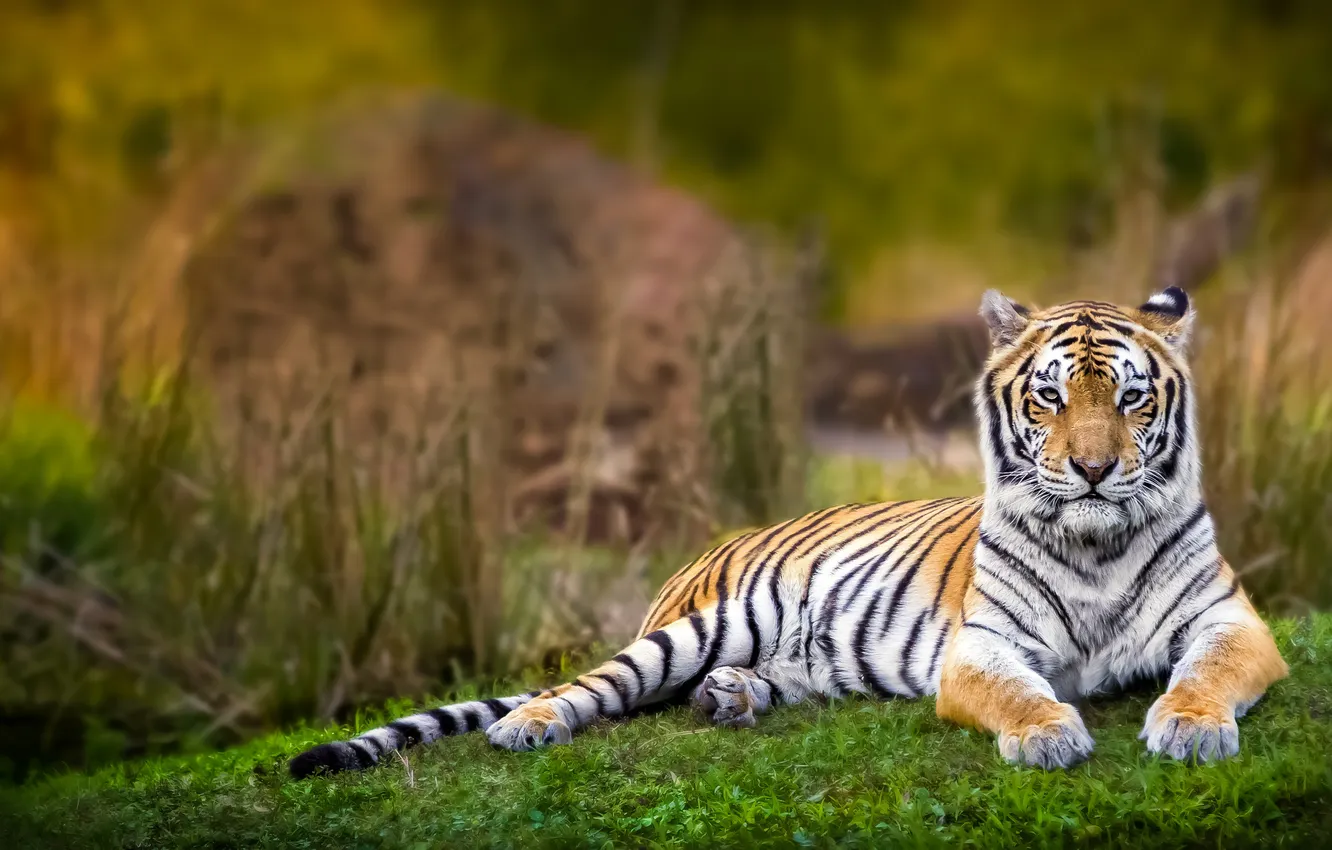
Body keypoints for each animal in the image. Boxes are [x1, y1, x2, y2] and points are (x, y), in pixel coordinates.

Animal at [290, 286, 1288, 777]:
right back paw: (529, 725)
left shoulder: (1233, 621)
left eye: (1130, 398)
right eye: (1049, 397)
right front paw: (1048, 735)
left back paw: (730, 699)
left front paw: (1191, 729)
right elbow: (1017, 692)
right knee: (595, 686)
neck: (1096, 543)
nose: (1091, 469)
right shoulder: (984, 646)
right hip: (701, 626)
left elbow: (1207, 673)